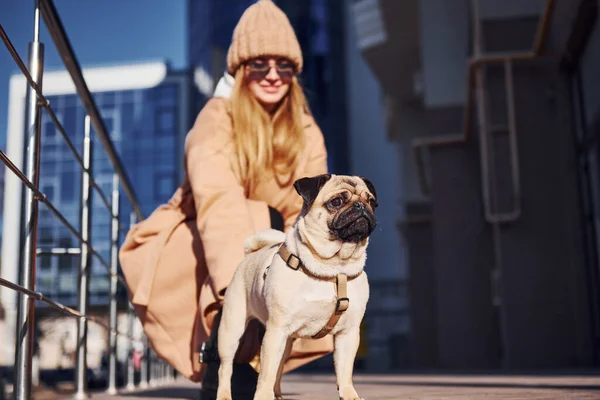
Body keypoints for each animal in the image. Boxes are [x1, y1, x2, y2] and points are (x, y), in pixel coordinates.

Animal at [214, 174, 376, 400]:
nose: (361, 206)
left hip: (286, 342)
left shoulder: (348, 333)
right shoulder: (276, 330)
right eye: (336, 202)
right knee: (226, 367)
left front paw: (349, 395)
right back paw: (224, 395)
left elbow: (345, 371)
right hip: (232, 330)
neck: (332, 267)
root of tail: (251, 254)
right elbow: (265, 373)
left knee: (279, 367)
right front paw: (263, 397)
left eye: (371, 201)